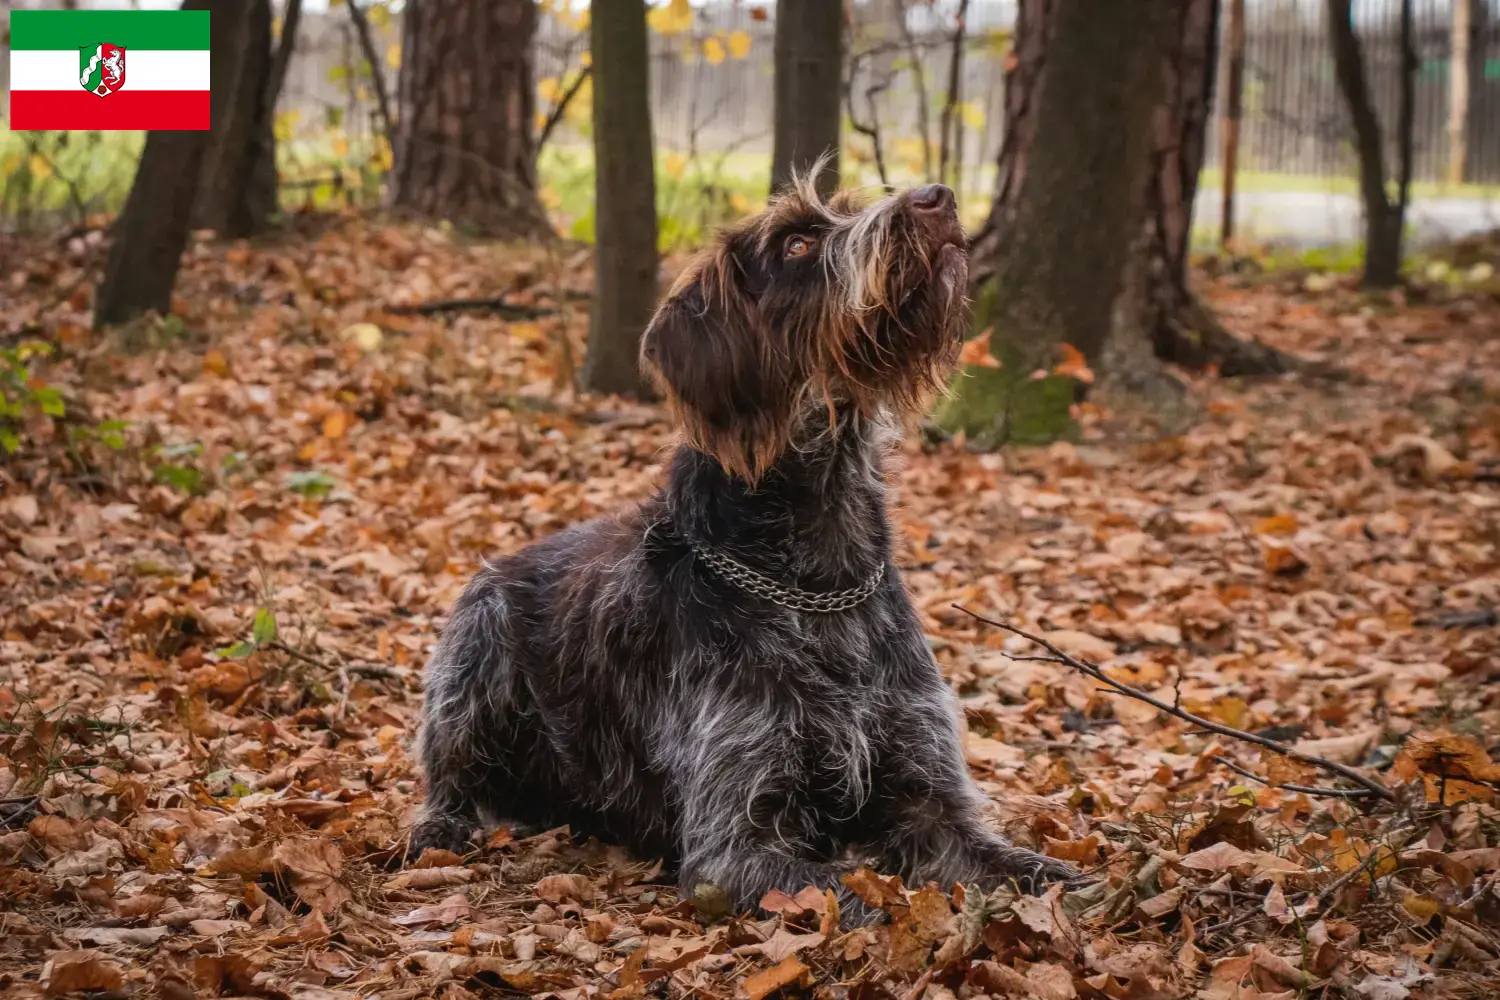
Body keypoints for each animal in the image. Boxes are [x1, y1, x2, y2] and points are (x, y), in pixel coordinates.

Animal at [414, 176, 1080, 929]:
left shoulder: (933, 801)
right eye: (796, 243)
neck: (820, 579)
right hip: (475, 645)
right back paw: (440, 827)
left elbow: (1034, 871)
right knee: (449, 779)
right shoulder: (735, 843)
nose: (935, 196)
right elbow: (866, 898)